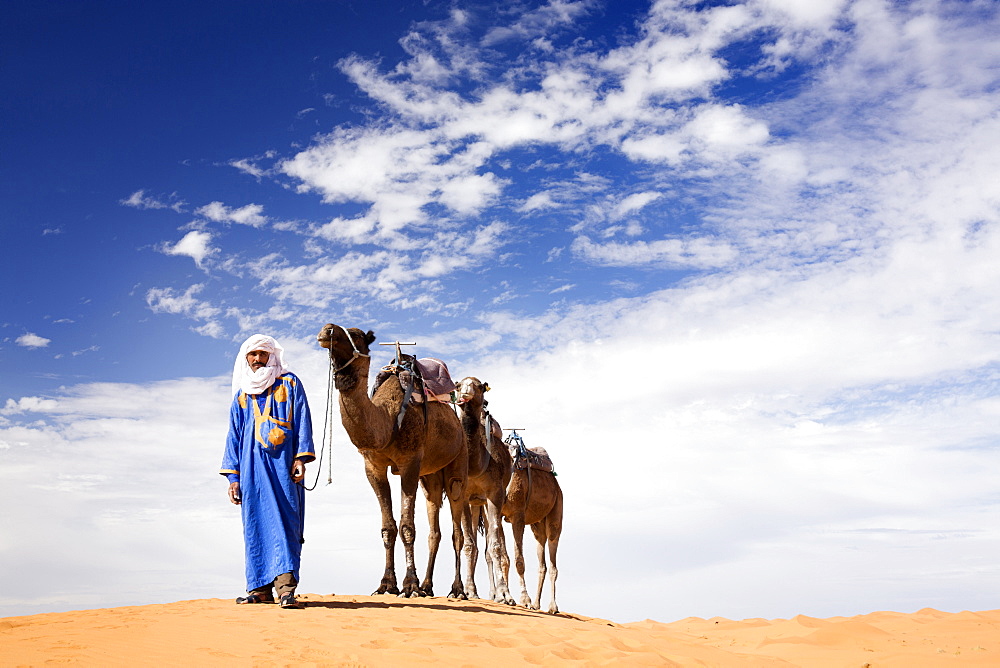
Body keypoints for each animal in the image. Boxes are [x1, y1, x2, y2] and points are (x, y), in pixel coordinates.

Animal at [316, 324, 468, 600]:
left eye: (356, 335)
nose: (327, 330)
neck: (387, 421)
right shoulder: (373, 467)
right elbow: (388, 527)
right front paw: (387, 584)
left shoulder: (410, 462)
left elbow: (408, 526)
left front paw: (409, 585)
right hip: (430, 478)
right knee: (435, 528)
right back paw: (428, 586)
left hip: (458, 464)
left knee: (458, 531)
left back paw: (457, 589)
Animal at [454, 376, 516, 604]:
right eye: (457, 385)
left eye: (479, 386)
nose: (464, 394)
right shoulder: (464, 496)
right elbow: (469, 544)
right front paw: (469, 591)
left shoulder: (495, 494)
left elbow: (496, 545)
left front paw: (505, 595)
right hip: (475, 504)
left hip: (487, 503)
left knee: (492, 545)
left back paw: (496, 594)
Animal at [500, 430, 564, 612]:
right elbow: (504, 558)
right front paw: (506, 598)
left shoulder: (518, 515)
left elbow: (519, 560)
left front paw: (524, 599)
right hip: (537, 525)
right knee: (542, 558)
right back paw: (536, 604)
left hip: (556, 511)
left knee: (553, 555)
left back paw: (552, 606)